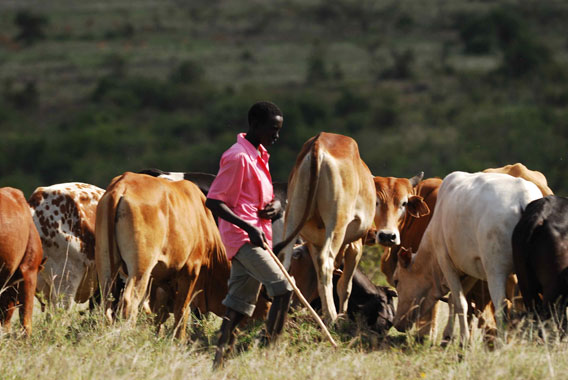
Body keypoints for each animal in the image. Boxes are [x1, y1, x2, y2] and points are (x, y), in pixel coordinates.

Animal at [392, 172, 544, 342]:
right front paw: (448, 335)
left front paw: (463, 339)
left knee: (501, 305)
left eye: (396, 280)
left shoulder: (445, 261)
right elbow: (453, 299)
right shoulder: (472, 268)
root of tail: (524, 199)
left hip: (495, 270)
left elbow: (460, 303)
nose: (396, 323)